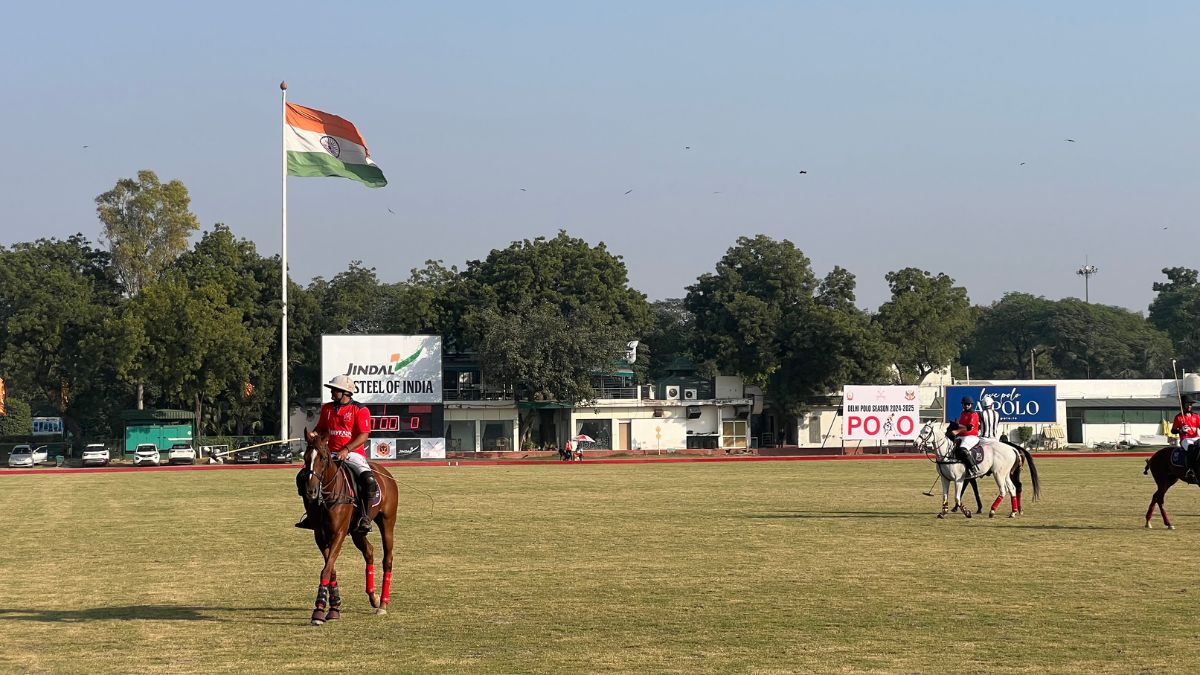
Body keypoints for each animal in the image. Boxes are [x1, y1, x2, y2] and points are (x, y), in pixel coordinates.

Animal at [304, 427, 398, 624]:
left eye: (322, 458)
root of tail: (385, 472)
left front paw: (318, 611)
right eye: (306, 458)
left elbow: (326, 570)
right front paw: (334, 608)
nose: (311, 491)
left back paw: (383, 604)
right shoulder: (320, 535)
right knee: (369, 551)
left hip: (387, 521)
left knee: (388, 559)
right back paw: (374, 597)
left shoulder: (338, 533)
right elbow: (330, 569)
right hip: (357, 531)